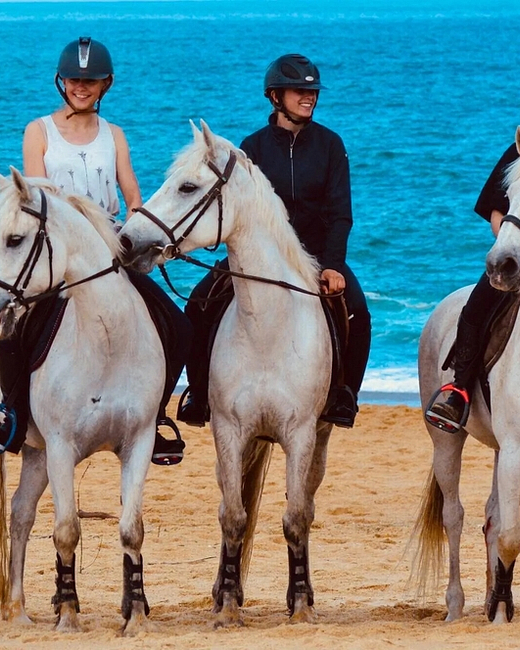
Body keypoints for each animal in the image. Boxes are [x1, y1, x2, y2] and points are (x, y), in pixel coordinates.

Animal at [0, 170, 165, 632]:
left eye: (15, 239)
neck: (106, 338)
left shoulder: (139, 443)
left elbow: (131, 529)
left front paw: (137, 616)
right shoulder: (61, 448)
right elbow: (66, 530)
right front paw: (69, 615)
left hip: (36, 454)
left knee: (20, 514)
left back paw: (17, 609)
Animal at [119, 120, 334, 624]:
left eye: (187, 186)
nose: (127, 240)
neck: (268, 325)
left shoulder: (301, 433)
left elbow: (296, 518)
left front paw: (300, 604)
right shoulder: (230, 431)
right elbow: (234, 517)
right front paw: (228, 605)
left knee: (306, 505)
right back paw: (222, 589)